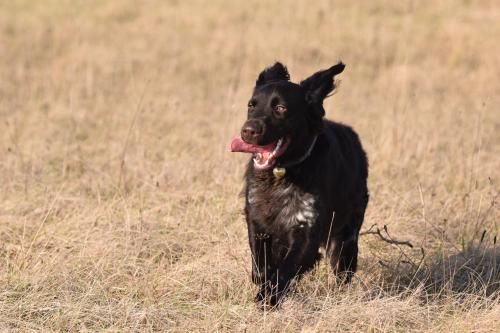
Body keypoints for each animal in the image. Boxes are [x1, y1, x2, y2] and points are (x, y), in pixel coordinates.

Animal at [230, 62, 368, 306]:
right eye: (251, 105)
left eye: (280, 108)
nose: (248, 131)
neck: (282, 173)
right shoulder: (257, 221)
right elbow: (261, 269)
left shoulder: (306, 230)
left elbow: (282, 273)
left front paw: (266, 300)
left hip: (346, 237)